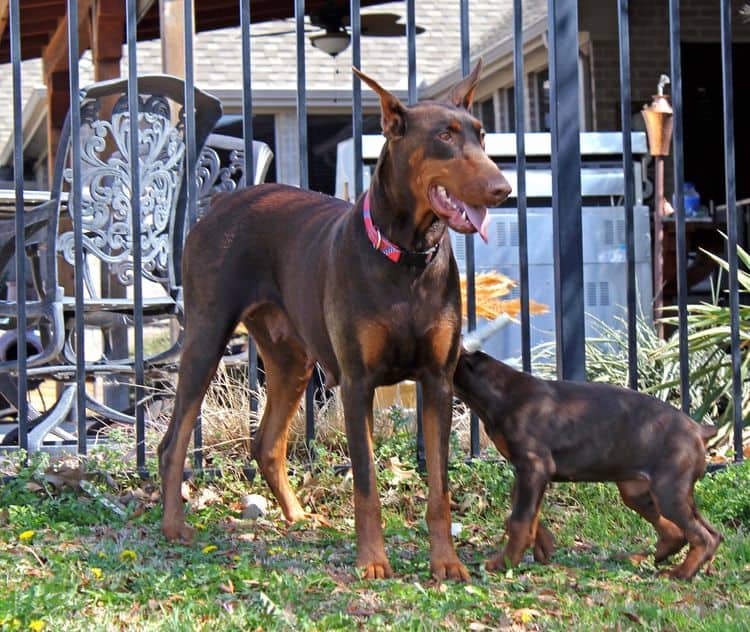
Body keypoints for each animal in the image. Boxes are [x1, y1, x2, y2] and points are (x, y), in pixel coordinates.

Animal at [157, 61, 512, 580]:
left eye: (481, 136)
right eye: (445, 136)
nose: (502, 188)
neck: (406, 257)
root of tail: (220, 204)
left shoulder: (438, 380)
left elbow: (440, 489)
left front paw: (445, 562)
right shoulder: (357, 382)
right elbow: (365, 482)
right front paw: (372, 560)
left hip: (291, 361)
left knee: (266, 443)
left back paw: (299, 516)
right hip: (206, 338)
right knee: (174, 442)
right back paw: (173, 525)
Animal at [452, 348, 724, 580]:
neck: (497, 389)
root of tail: (699, 429)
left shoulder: (534, 465)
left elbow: (520, 519)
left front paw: (504, 563)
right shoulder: (526, 471)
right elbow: (520, 510)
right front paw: (544, 545)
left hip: (668, 491)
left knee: (703, 536)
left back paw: (680, 573)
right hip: (638, 491)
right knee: (689, 533)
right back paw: (637, 558)